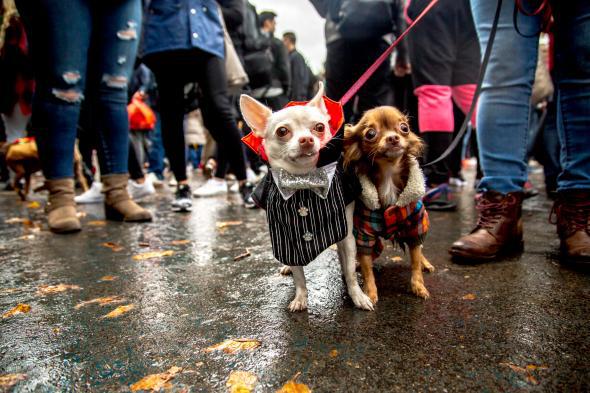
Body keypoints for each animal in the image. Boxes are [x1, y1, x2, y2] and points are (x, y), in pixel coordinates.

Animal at [346, 107, 434, 304]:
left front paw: (418, 286)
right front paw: (370, 293)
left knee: (420, 249)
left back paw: (426, 263)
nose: (393, 138)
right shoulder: (364, 232)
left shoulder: (415, 224)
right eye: (370, 134)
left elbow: (415, 258)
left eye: (404, 128)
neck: (389, 174)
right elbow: (367, 268)